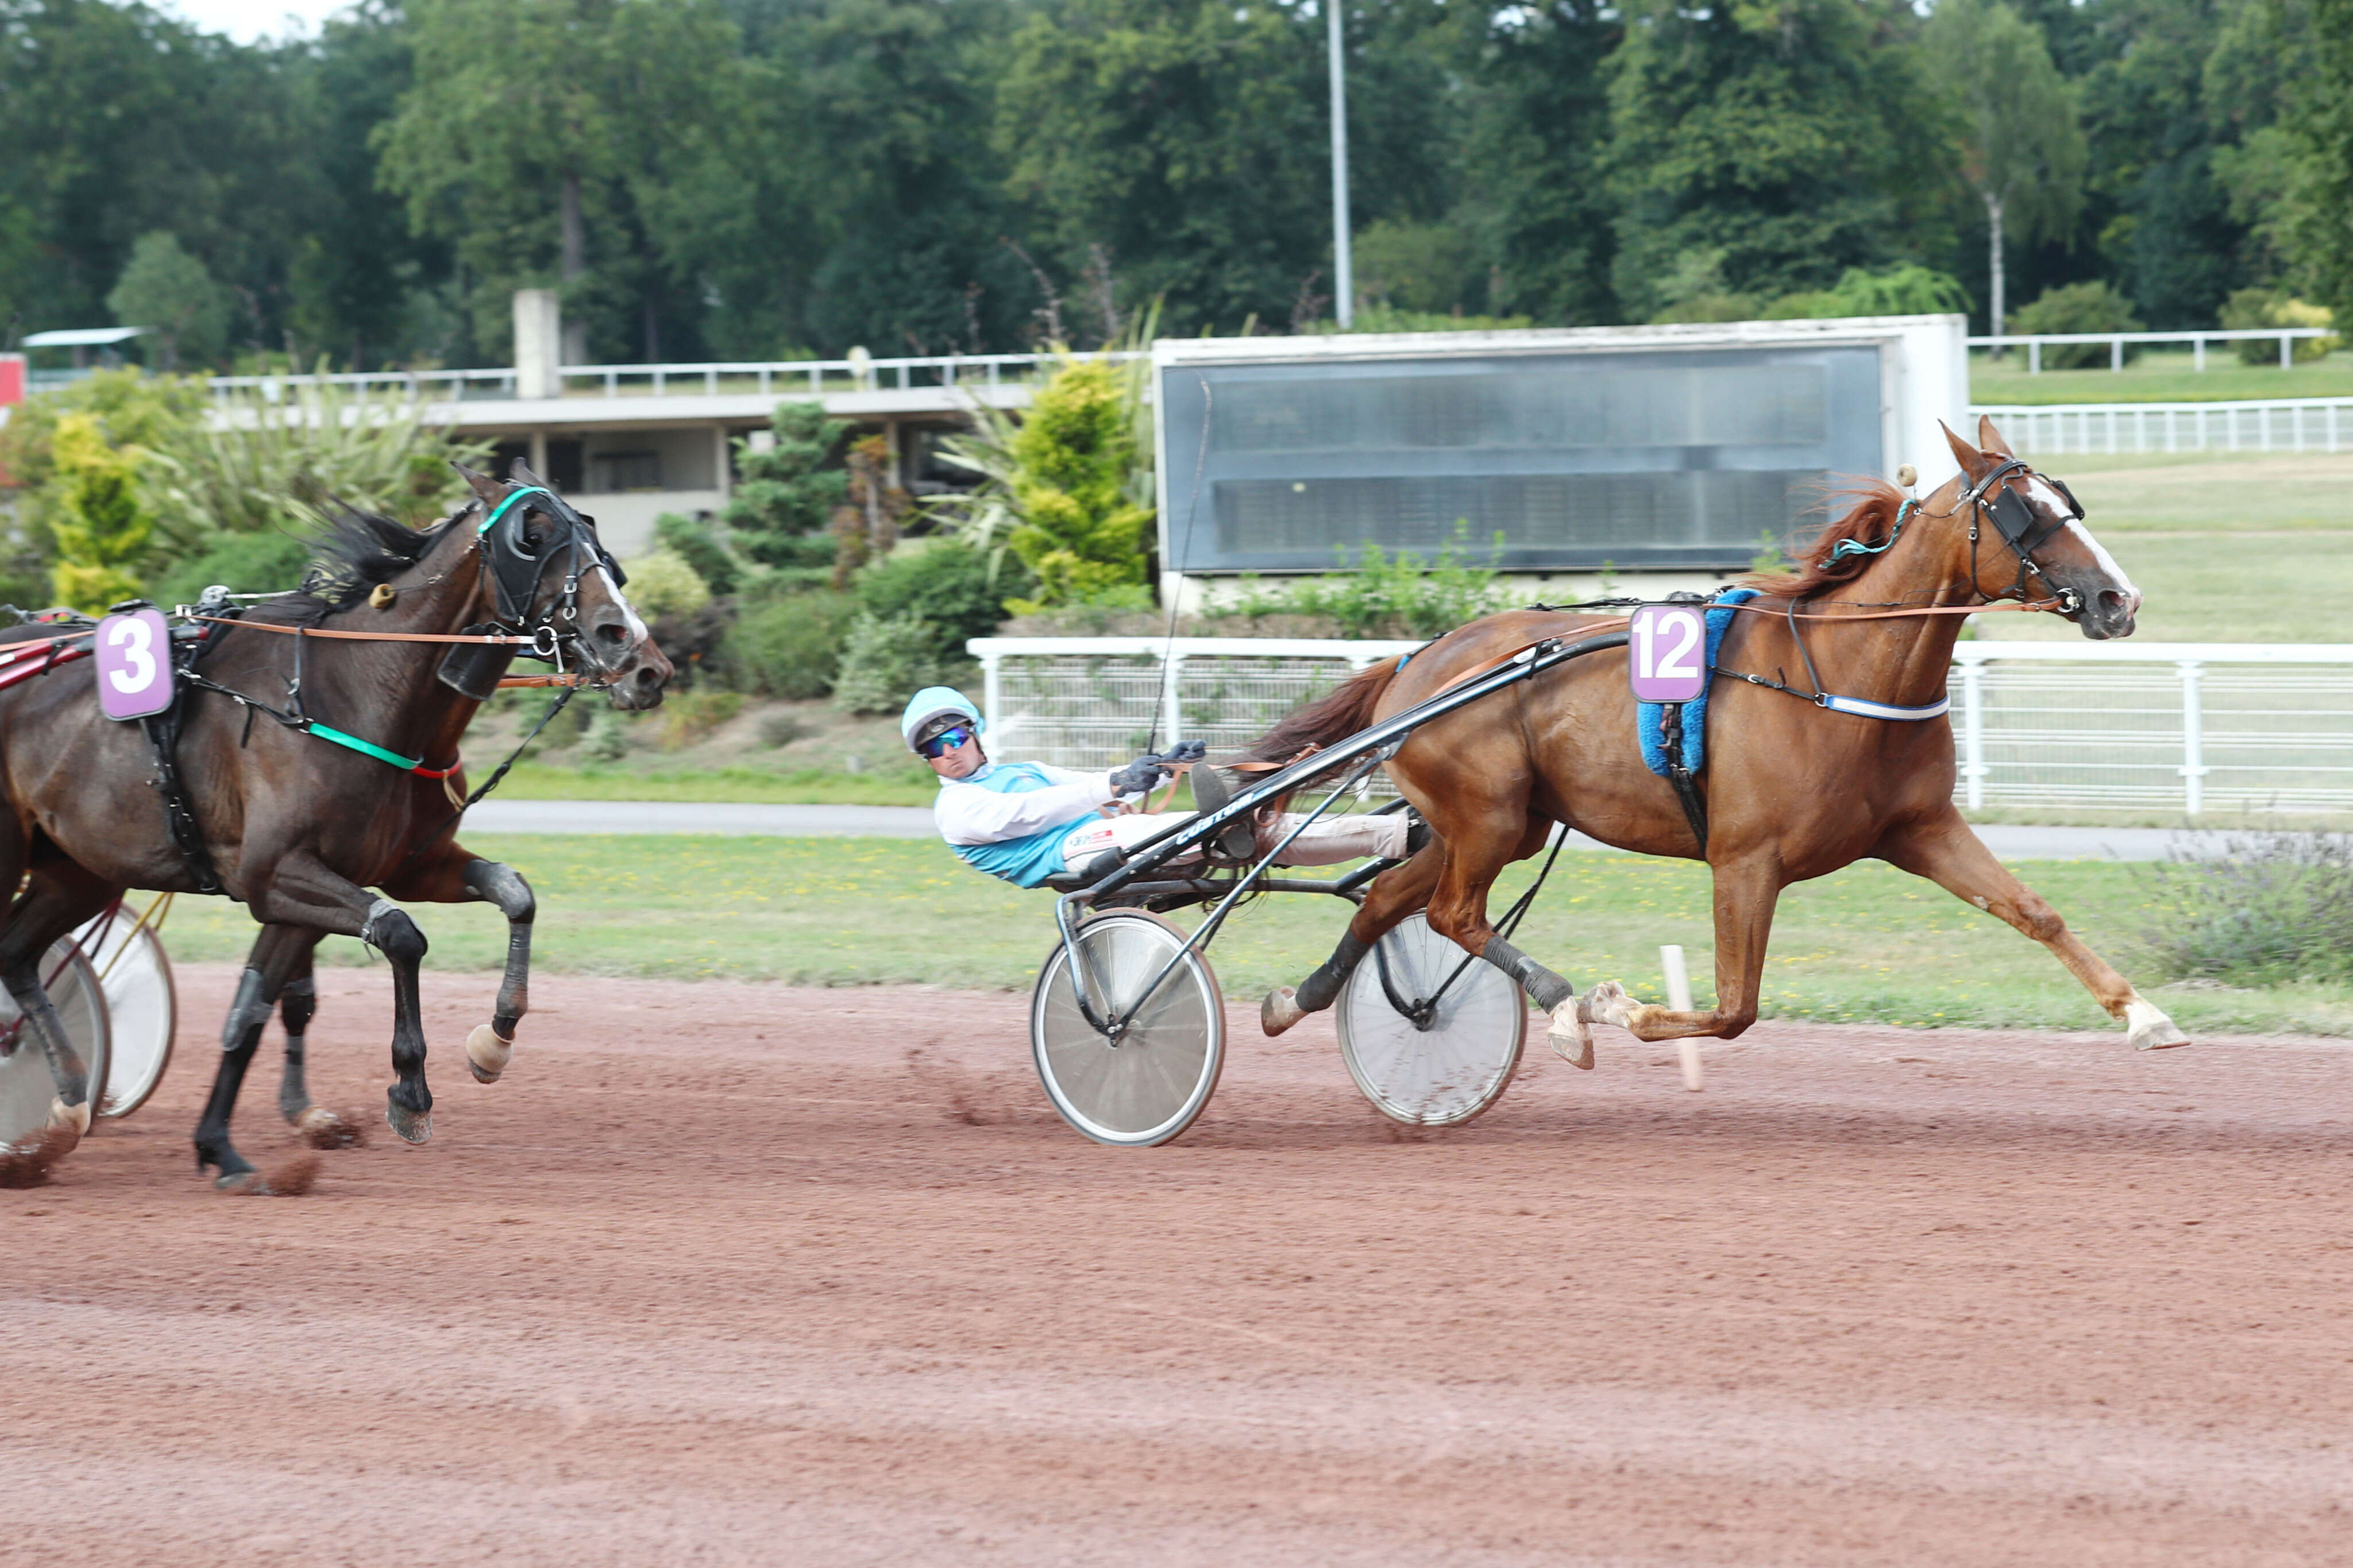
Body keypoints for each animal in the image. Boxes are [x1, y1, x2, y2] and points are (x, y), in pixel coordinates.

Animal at [0, 465, 673, 1189]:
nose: (638, 656)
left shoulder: (389, 869)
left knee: (17, 954)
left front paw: (492, 1042)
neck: (349, 695)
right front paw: (409, 1092)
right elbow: (400, 936)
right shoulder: (276, 876)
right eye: (534, 537)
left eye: (592, 532)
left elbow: (509, 896)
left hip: (80, 869)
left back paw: (66, 1106)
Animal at [1261, 420, 2193, 1067]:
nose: (2120, 598)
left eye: (2069, 503)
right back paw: (1560, 1006)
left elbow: (2034, 910)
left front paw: (2145, 1015)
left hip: (1505, 823)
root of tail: (1414, 662)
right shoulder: (1745, 859)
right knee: (1452, 913)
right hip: (1484, 816)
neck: (1838, 673)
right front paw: (1613, 1006)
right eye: (2022, 514)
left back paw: (1295, 999)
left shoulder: (1922, 829)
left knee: (1393, 898)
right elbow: (1736, 1007)